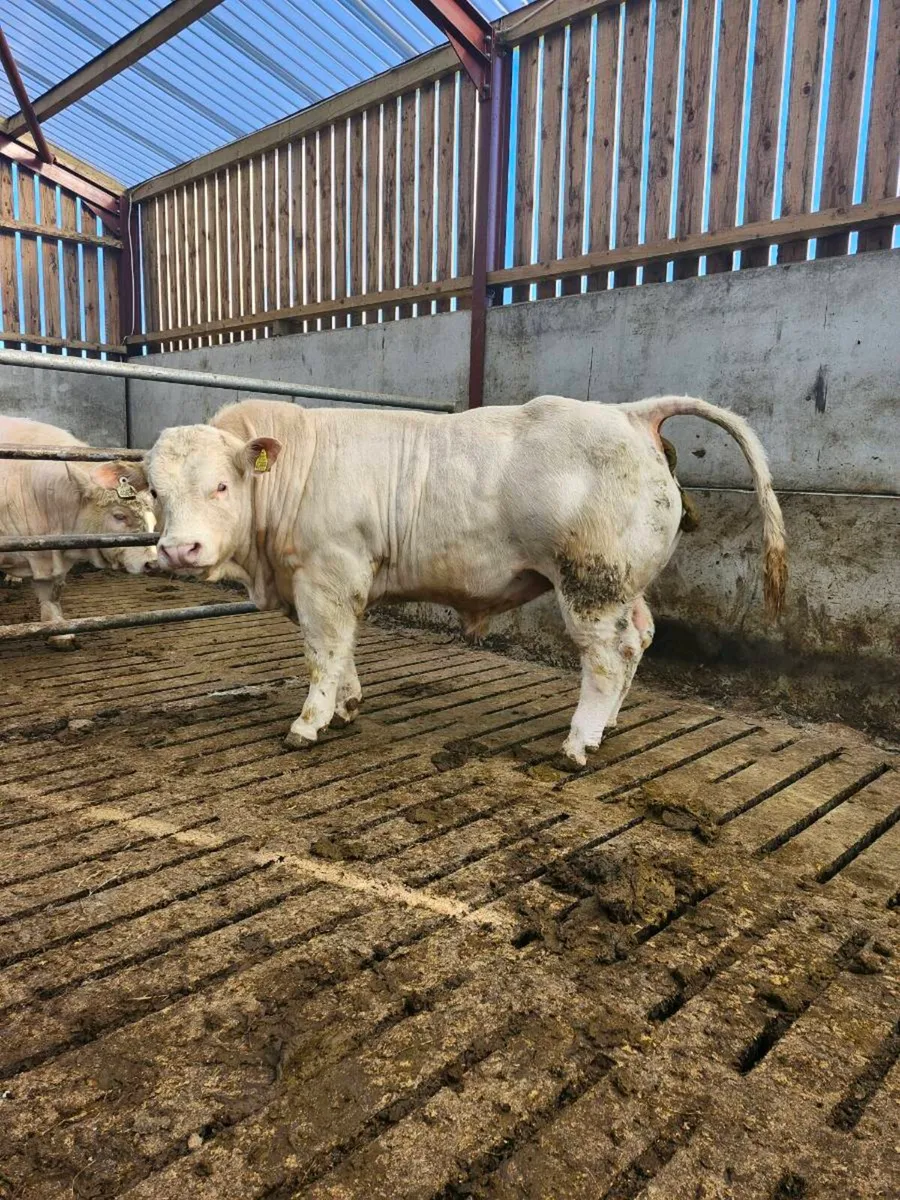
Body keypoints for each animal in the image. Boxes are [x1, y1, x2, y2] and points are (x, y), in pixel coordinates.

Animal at [141, 395, 786, 764]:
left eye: (222, 485)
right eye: (155, 490)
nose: (177, 549)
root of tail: (630, 412)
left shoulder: (329, 573)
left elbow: (323, 651)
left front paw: (309, 722)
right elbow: (343, 650)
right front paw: (347, 705)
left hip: (591, 584)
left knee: (609, 655)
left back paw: (579, 742)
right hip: (627, 584)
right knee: (642, 637)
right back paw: (608, 724)